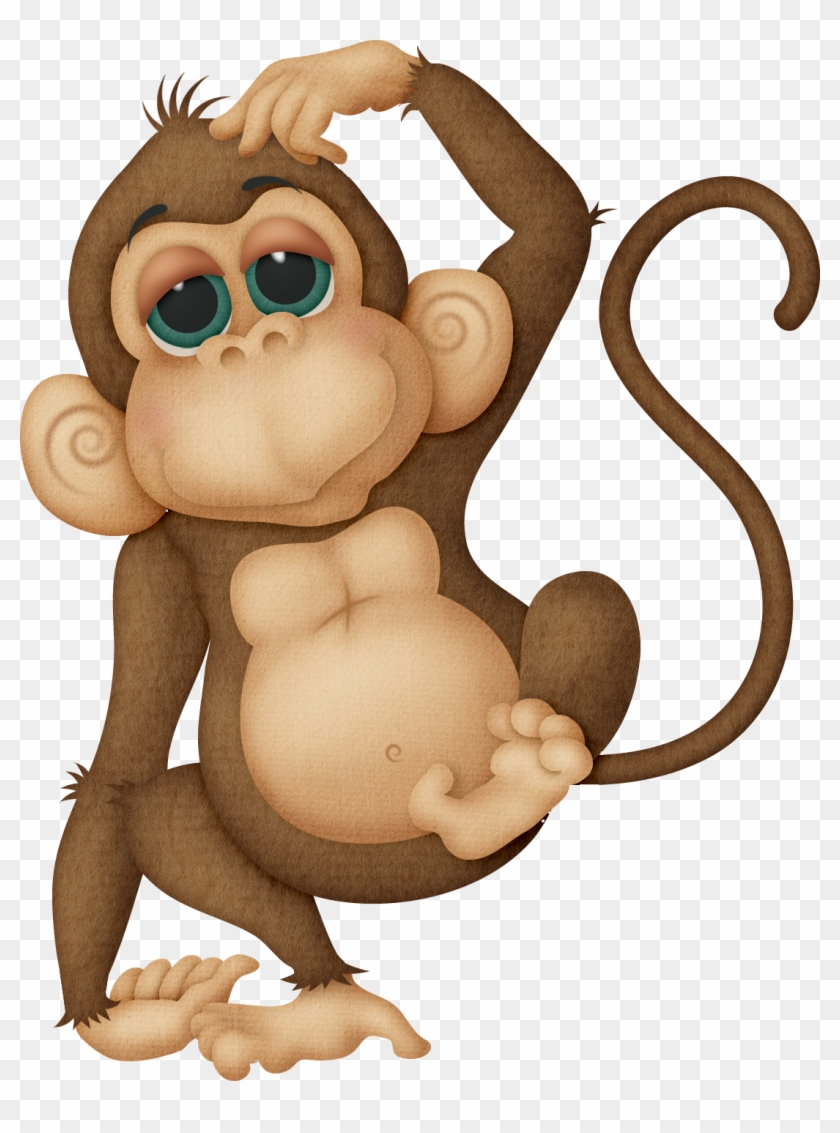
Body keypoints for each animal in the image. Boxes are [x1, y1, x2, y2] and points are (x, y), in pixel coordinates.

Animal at [19, 42, 819, 1080]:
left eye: (287, 274)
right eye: (186, 308)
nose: (260, 344)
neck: (306, 522)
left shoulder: (444, 439)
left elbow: (549, 234)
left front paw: (340, 77)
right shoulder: (147, 566)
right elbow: (120, 770)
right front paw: (122, 1023)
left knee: (588, 599)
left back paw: (521, 778)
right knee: (167, 809)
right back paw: (322, 1000)